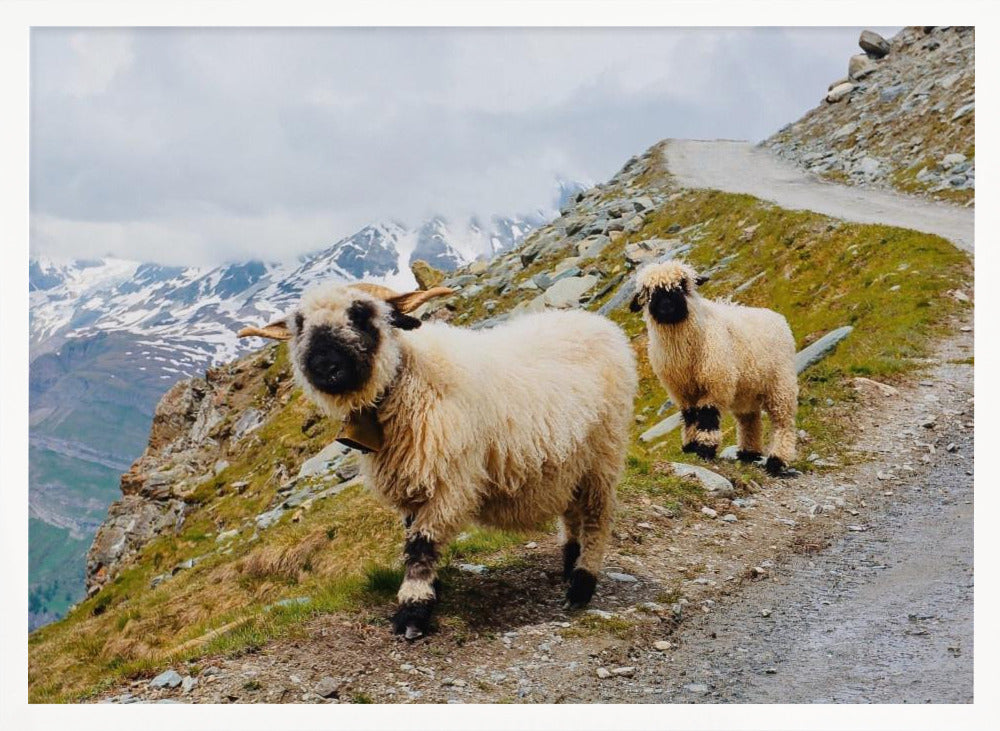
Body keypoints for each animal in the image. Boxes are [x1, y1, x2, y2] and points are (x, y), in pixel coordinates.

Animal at [240, 282, 637, 639]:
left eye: (361, 314)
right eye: (299, 325)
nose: (324, 367)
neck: (407, 379)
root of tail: (598, 323)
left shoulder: (449, 482)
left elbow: (421, 546)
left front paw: (413, 612)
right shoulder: (414, 486)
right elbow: (413, 539)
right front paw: (430, 592)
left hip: (604, 452)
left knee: (597, 517)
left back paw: (582, 585)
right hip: (569, 461)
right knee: (572, 513)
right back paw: (570, 563)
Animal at [629, 260, 798, 476]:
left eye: (682, 285)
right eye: (648, 291)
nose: (666, 305)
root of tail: (778, 318)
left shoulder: (715, 382)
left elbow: (707, 416)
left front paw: (705, 449)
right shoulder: (682, 391)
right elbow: (690, 416)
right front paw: (690, 446)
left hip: (780, 384)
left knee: (783, 423)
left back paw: (777, 461)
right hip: (746, 391)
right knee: (749, 420)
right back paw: (748, 454)